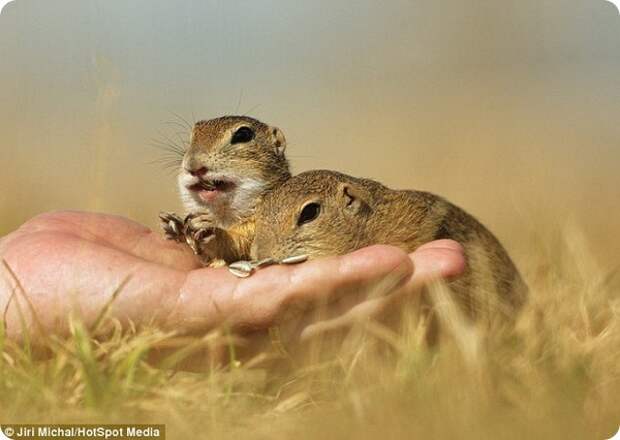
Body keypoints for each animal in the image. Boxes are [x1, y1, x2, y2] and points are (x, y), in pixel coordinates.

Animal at [160, 116, 290, 264]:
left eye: (243, 134)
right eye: (191, 137)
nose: (192, 165)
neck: (221, 215)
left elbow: (236, 247)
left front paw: (208, 229)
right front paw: (175, 225)